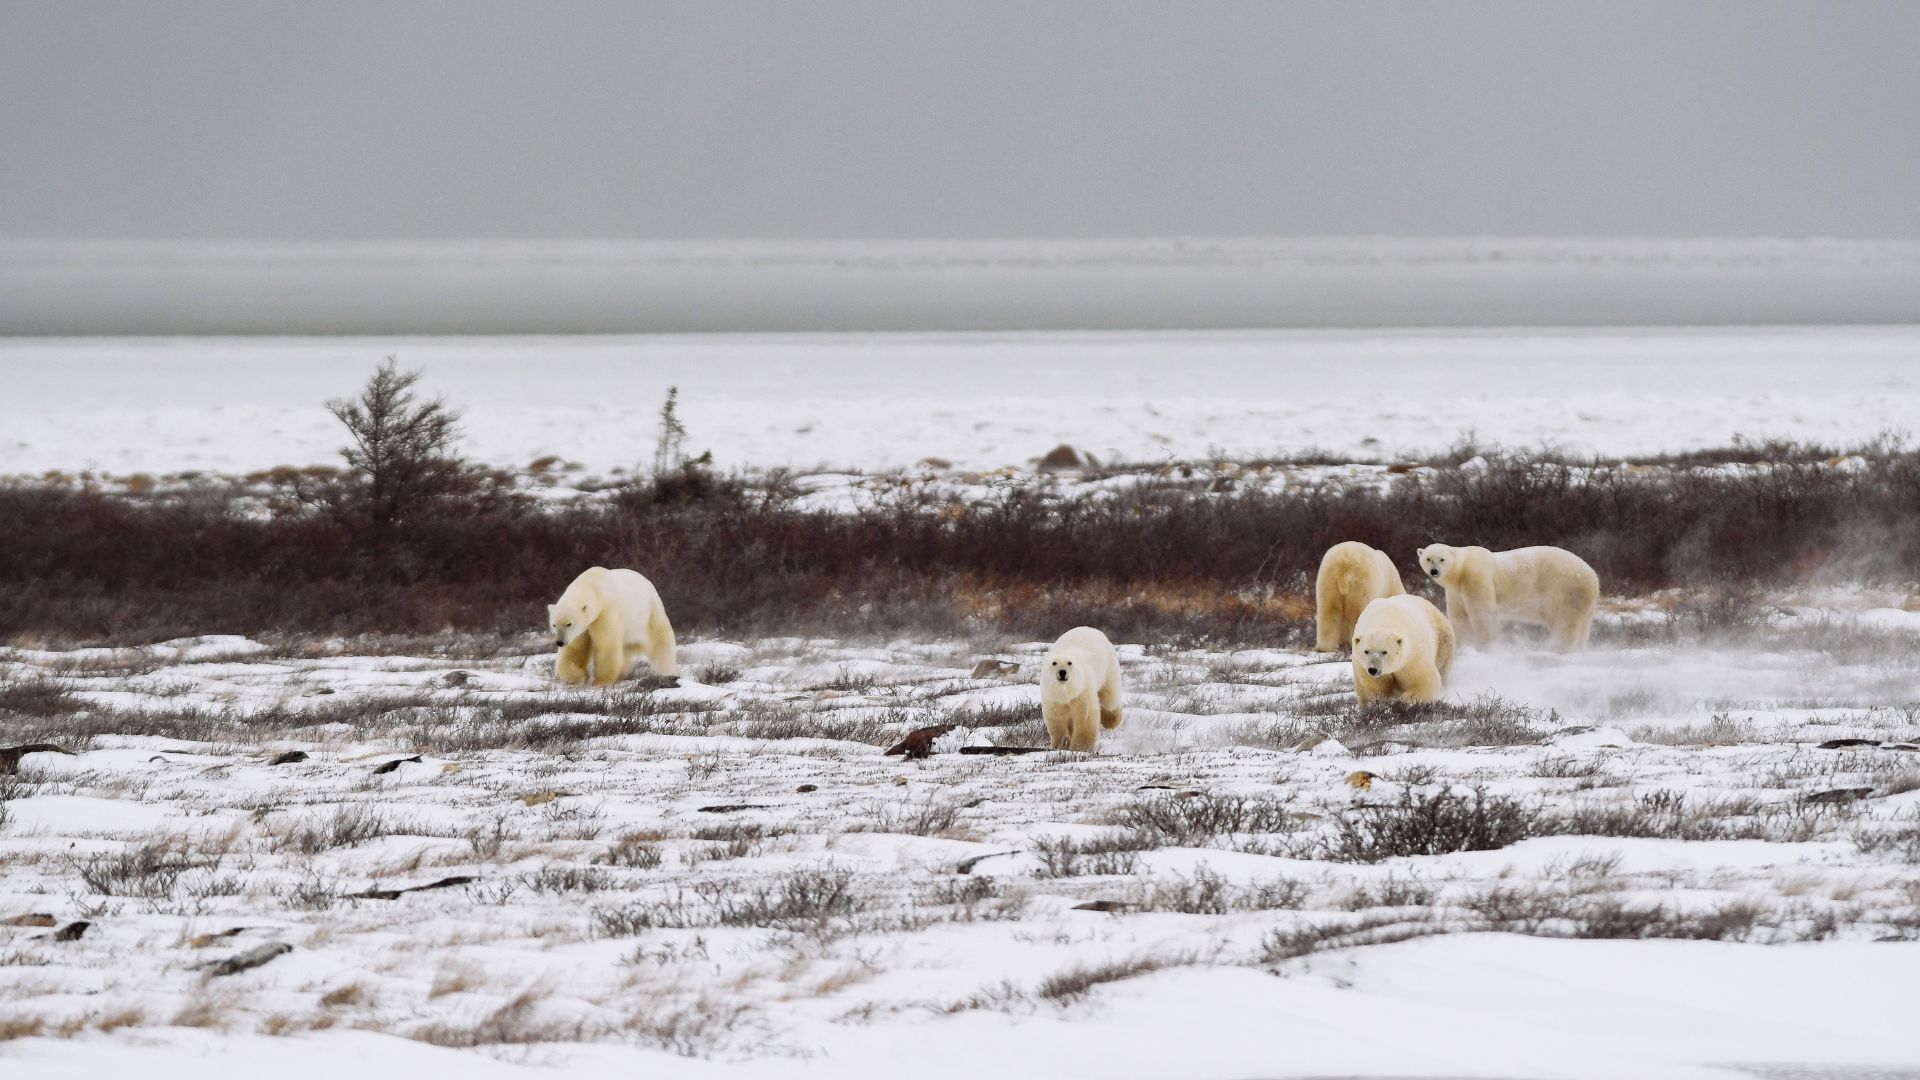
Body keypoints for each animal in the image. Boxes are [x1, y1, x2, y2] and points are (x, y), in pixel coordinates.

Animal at [549, 567, 680, 686]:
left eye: (569, 624)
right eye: (554, 624)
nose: (559, 642)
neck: (594, 584)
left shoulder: (606, 611)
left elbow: (606, 644)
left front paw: (601, 681)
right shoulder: (582, 628)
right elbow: (575, 648)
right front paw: (577, 677)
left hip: (649, 614)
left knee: (660, 643)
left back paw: (669, 672)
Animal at [1415, 543, 1599, 651]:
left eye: (1442, 559)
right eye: (1428, 558)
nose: (1434, 571)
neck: (1461, 571)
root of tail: (1593, 576)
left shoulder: (1476, 579)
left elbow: (1483, 614)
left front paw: (1487, 646)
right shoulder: (1456, 591)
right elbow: (1459, 616)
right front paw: (1463, 644)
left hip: (1566, 589)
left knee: (1565, 622)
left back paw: (1557, 649)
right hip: (1584, 600)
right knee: (1583, 625)